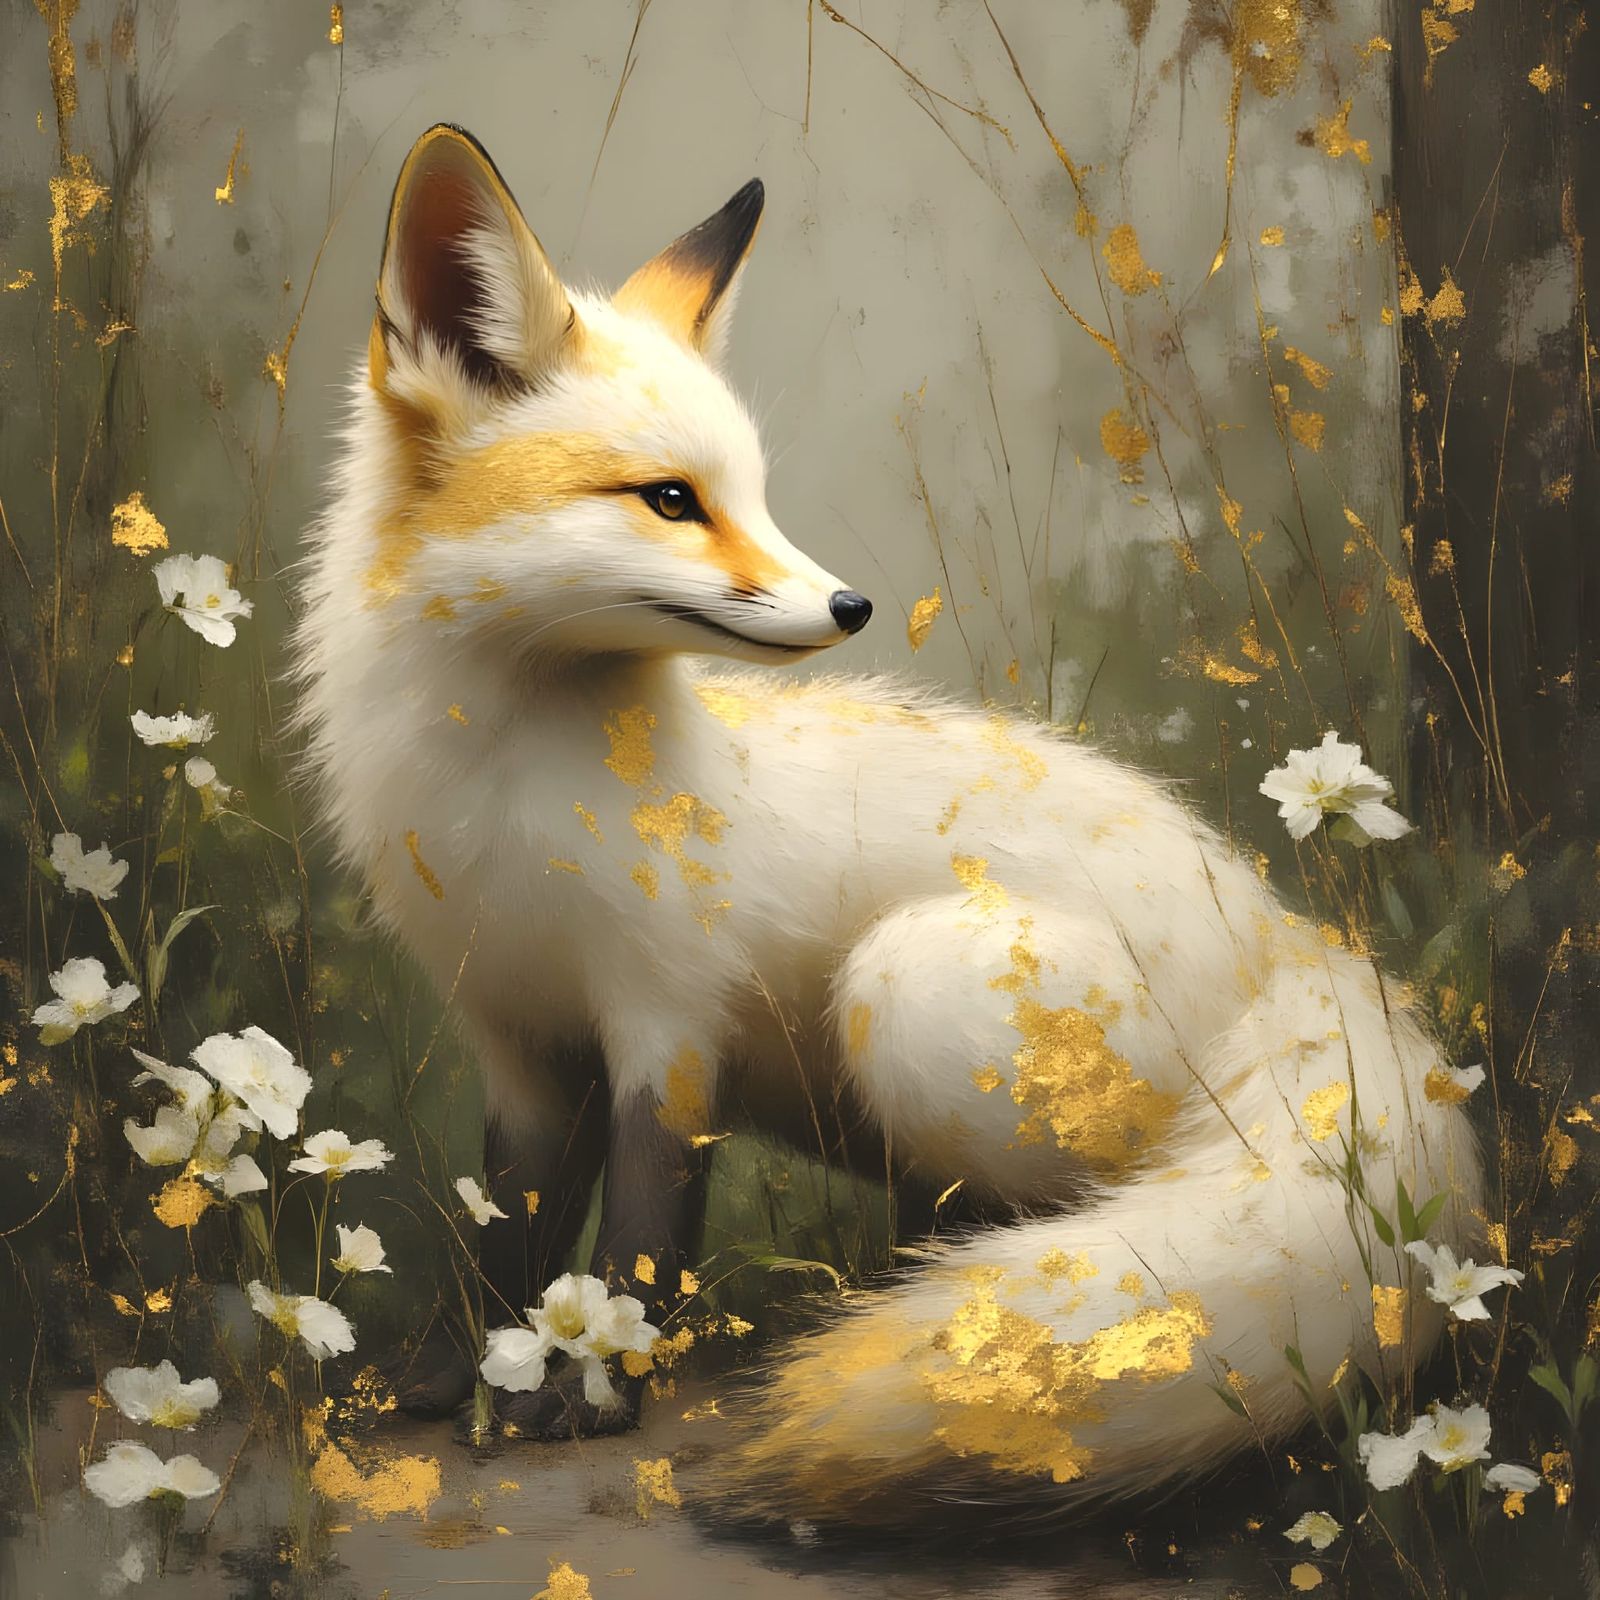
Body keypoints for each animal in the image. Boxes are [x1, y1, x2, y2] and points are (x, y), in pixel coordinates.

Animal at [296, 123, 1481, 1523]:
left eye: (752, 492)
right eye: (669, 499)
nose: (850, 604)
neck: (505, 810)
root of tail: (1281, 934)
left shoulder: (668, 1024)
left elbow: (637, 1248)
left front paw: (588, 1395)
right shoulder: (520, 1043)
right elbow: (507, 1241)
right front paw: (454, 1377)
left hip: (904, 989)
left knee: (1078, 1221)